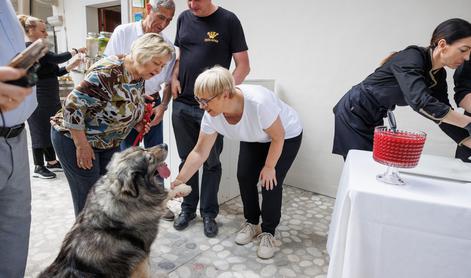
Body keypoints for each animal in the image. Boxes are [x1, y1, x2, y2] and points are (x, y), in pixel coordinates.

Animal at [39, 144, 192, 276]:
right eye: (149, 158)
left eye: (143, 147)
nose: (165, 145)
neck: (120, 194)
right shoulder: (141, 262)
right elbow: (167, 194)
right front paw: (184, 188)